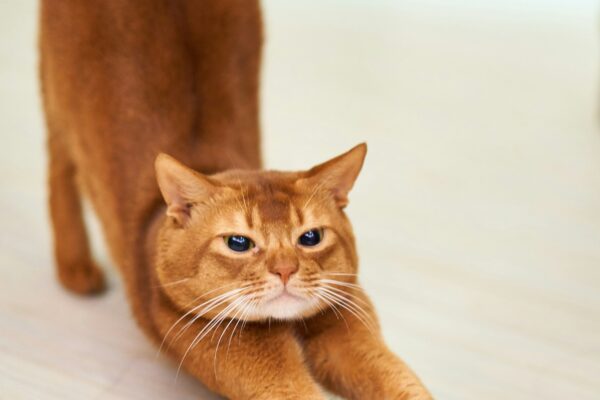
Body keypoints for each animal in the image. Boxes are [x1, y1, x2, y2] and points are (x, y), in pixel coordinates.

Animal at [38, 1, 432, 398]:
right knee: (60, 170)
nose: (285, 270)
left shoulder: (346, 318)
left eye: (311, 237)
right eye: (238, 243)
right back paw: (76, 269)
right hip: (57, 101)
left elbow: (403, 383)